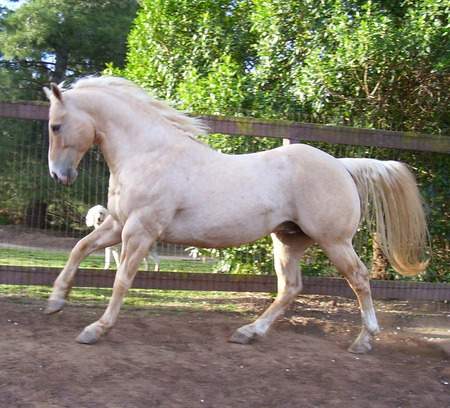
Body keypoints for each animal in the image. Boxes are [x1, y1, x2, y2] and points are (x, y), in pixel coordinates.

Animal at [44, 77, 428, 354]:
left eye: (55, 126)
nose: (59, 176)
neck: (149, 153)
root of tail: (341, 165)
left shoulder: (140, 231)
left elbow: (121, 280)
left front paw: (95, 330)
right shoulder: (118, 224)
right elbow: (79, 249)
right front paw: (55, 302)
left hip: (333, 241)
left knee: (359, 278)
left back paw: (363, 340)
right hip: (289, 240)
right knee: (290, 287)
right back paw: (248, 332)